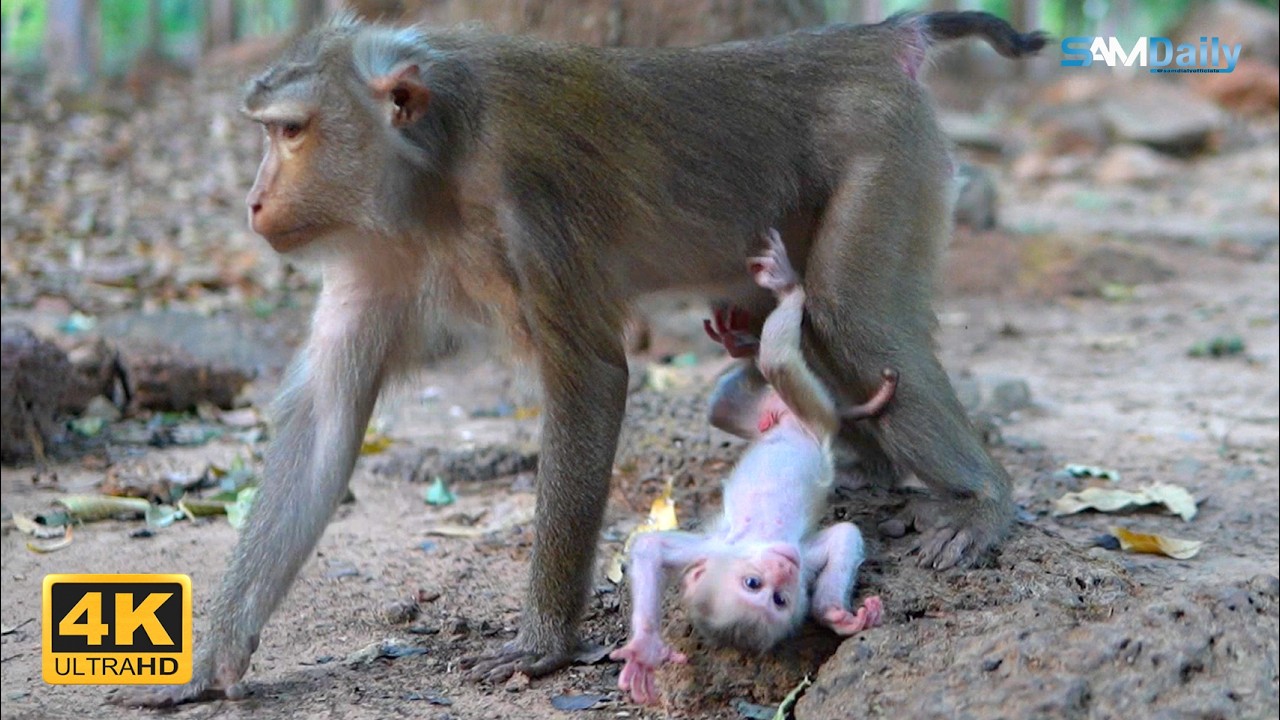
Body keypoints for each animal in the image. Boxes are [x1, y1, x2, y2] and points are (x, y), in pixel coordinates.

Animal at [611, 230, 889, 705]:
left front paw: (643, 649)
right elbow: (843, 537)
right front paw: (837, 614)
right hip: (811, 417)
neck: (758, 542)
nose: (782, 569)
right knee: (776, 364)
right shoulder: (769, 552)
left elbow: (649, 547)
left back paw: (749, 333)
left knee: (735, 394)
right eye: (768, 593)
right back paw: (784, 298)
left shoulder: (729, 548)